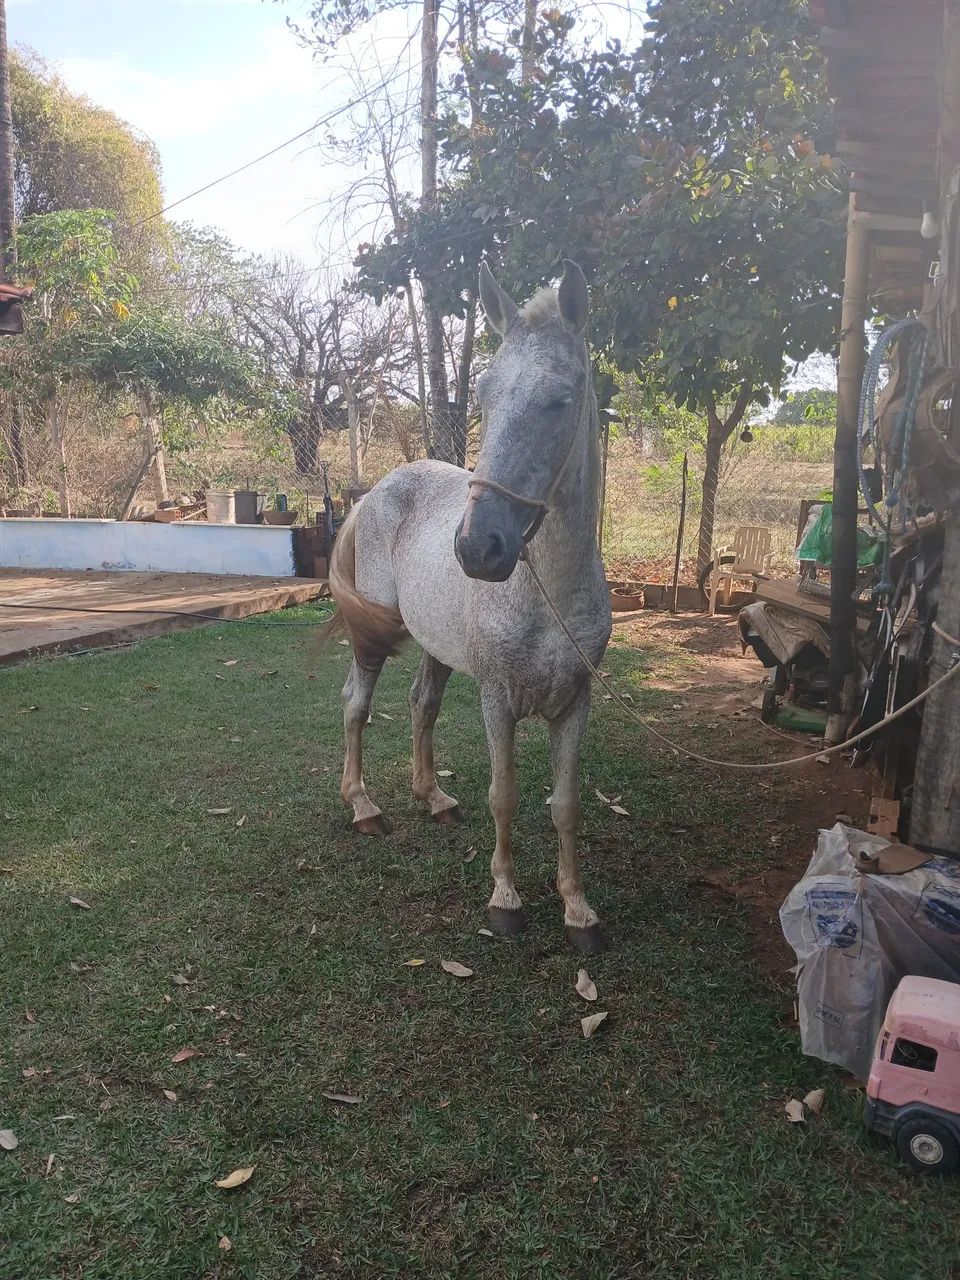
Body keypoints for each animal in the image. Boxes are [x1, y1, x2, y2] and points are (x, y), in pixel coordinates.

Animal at [326, 259, 612, 953]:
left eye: (560, 398)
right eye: (483, 395)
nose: (479, 547)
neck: (547, 597)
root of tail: (376, 490)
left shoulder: (576, 701)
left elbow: (566, 803)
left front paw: (577, 908)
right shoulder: (497, 699)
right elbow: (504, 794)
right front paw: (505, 898)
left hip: (435, 647)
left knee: (420, 706)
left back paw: (433, 798)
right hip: (371, 639)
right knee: (356, 707)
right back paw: (363, 805)